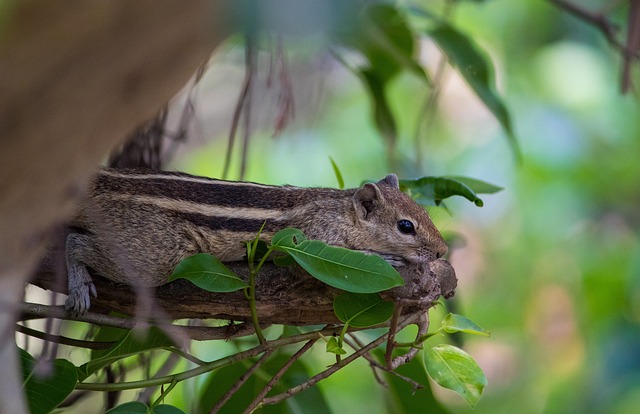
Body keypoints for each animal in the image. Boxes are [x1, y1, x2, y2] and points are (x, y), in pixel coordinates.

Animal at [63, 167, 444, 314]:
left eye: (424, 213)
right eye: (406, 226)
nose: (441, 250)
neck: (341, 210)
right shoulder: (309, 237)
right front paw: (388, 258)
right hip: (153, 255)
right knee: (74, 242)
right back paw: (79, 285)